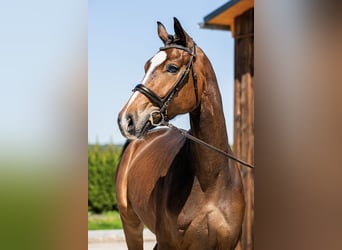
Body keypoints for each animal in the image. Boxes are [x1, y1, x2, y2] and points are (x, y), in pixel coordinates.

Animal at [116, 18, 244, 250]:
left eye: (172, 68)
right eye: (146, 66)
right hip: (130, 224)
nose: (126, 119)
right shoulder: (169, 243)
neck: (211, 180)